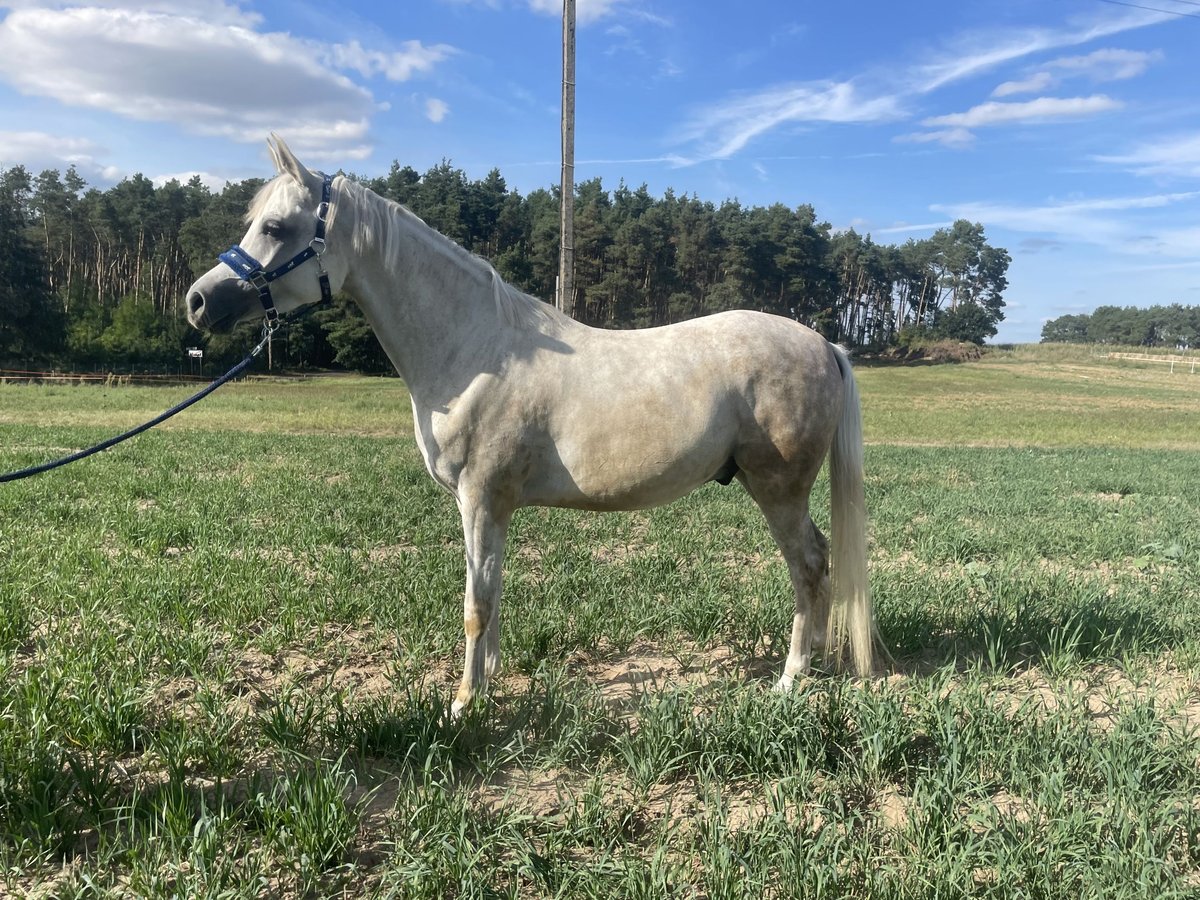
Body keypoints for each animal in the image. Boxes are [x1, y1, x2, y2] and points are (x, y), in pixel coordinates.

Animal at [186, 136, 882, 716]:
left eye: (275, 226)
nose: (197, 301)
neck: (476, 348)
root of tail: (824, 345)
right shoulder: (490, 506)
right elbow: (490, 596)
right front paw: (488, 681)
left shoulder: (479, 498)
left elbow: (475, 605)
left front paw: (464, 705)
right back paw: (816, 668)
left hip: (779, 490)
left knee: (809, 567)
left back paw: (791, 679)